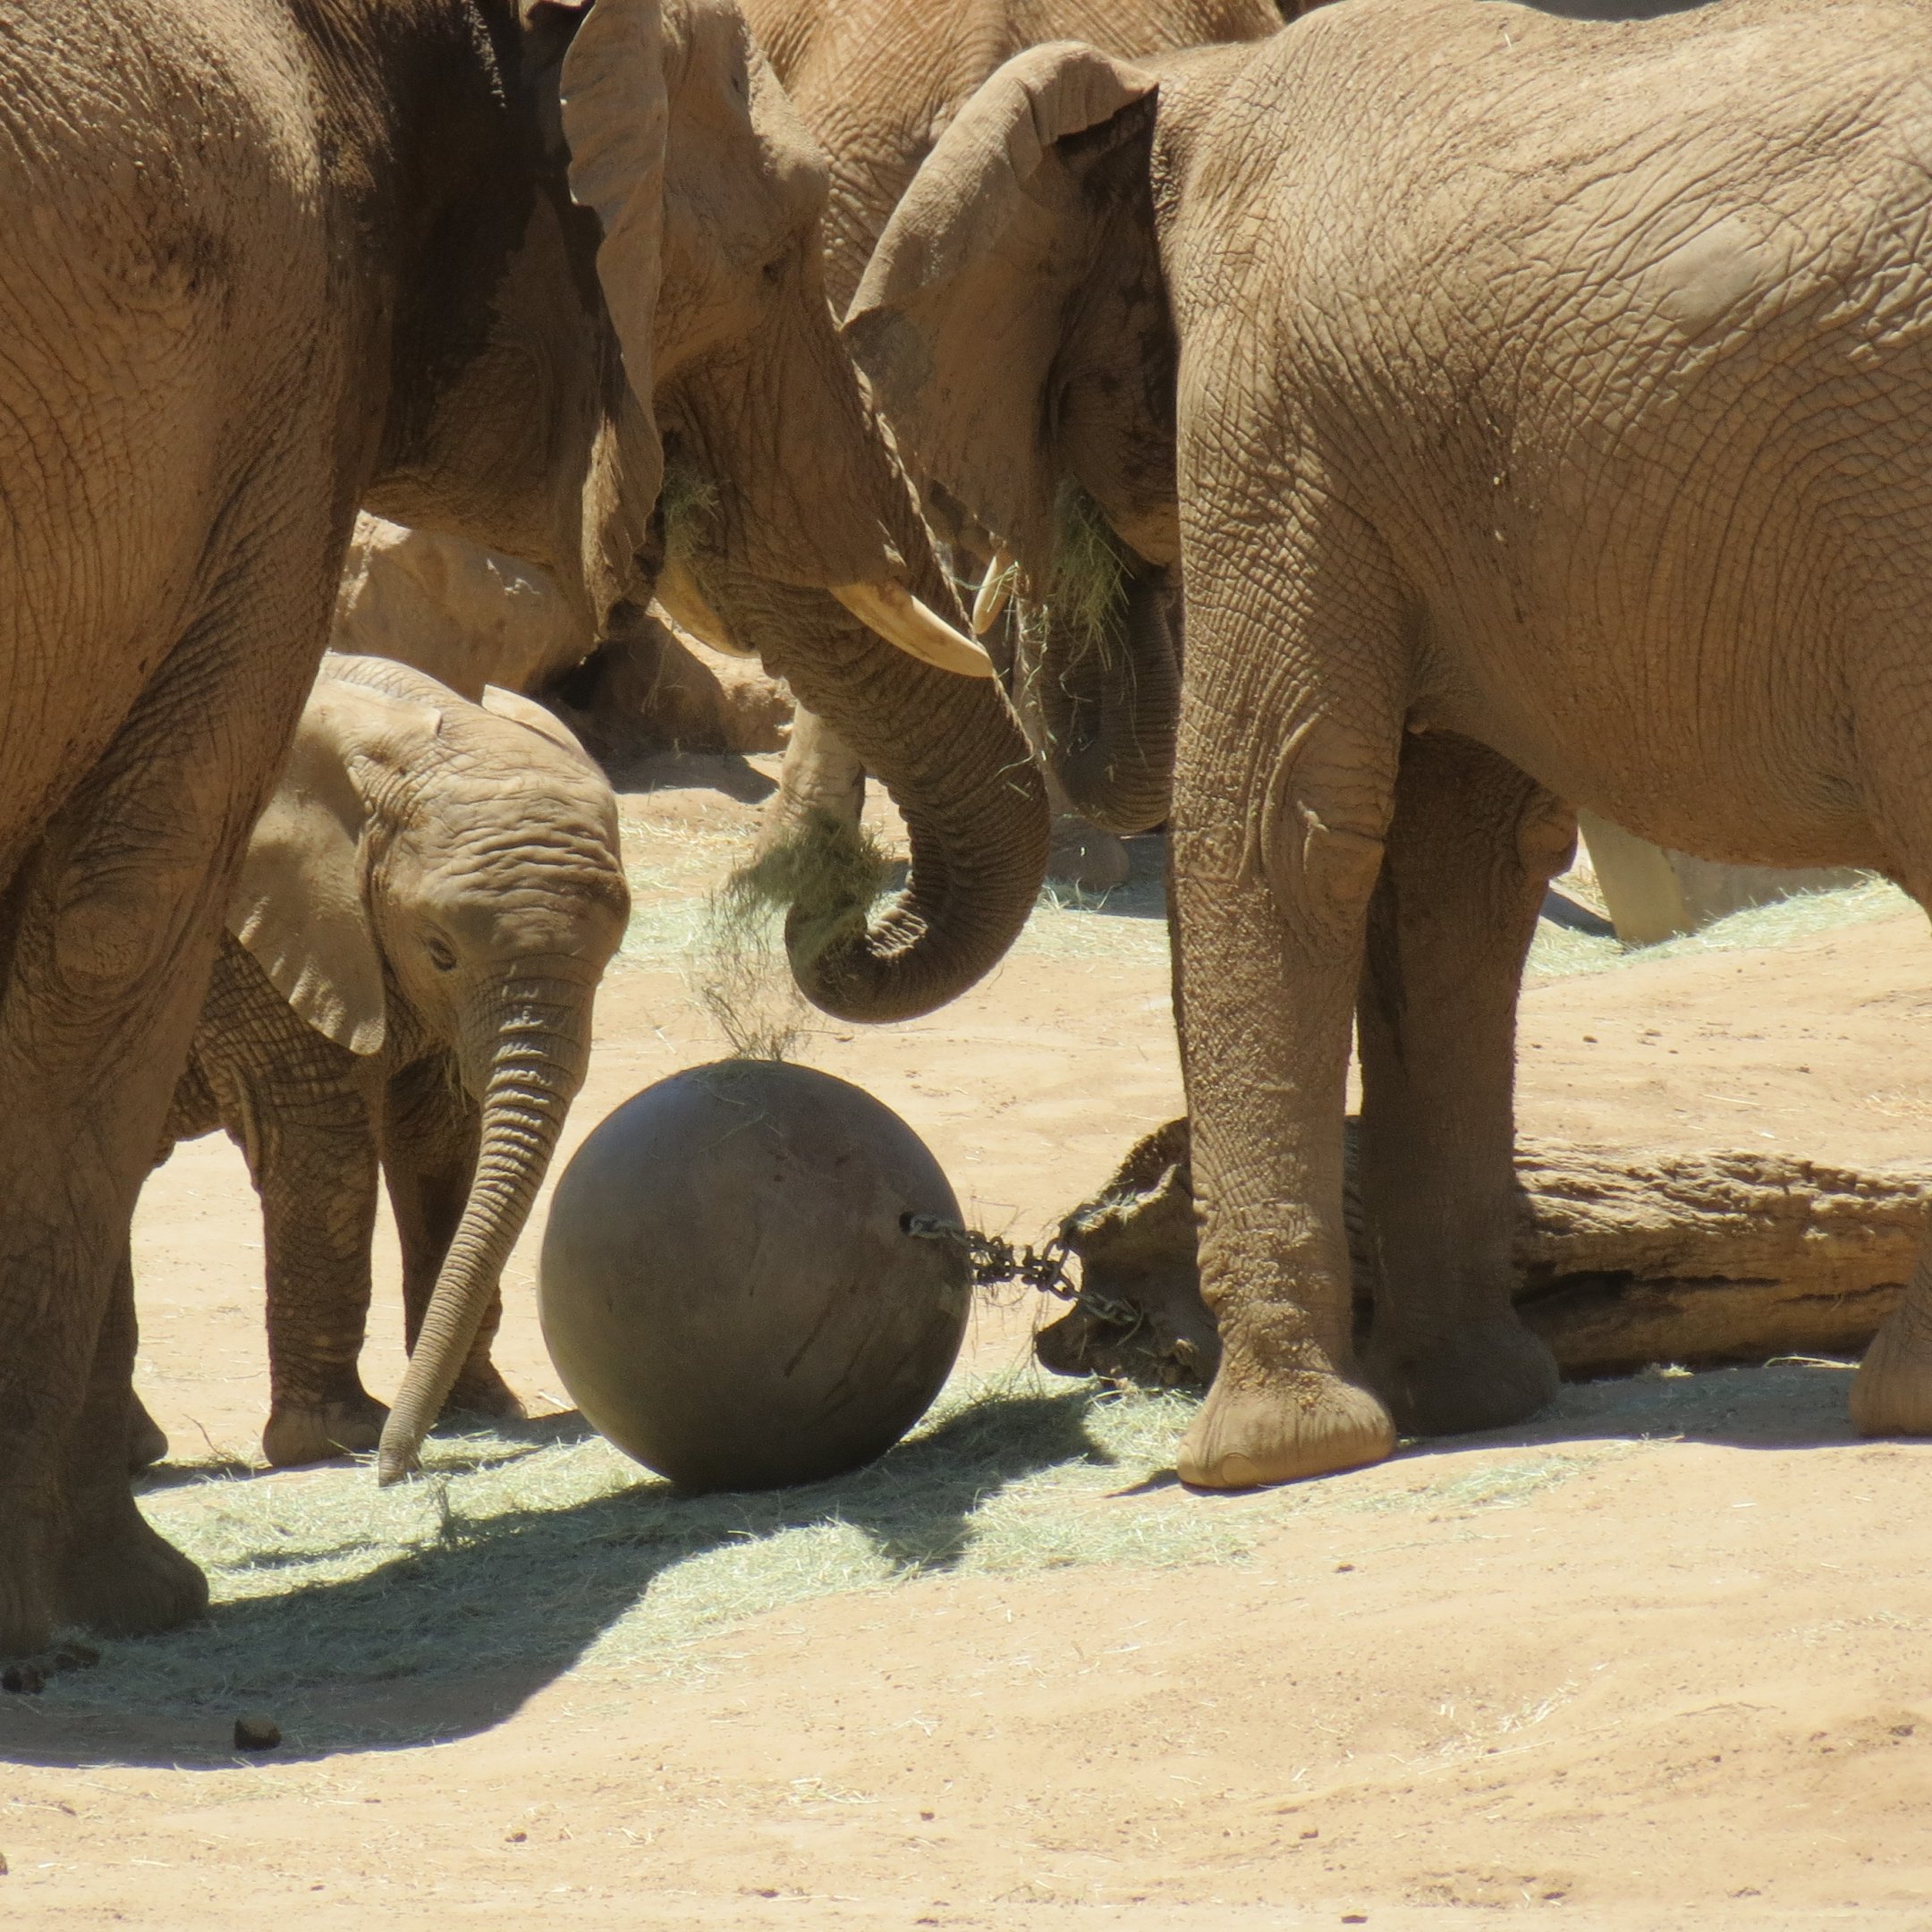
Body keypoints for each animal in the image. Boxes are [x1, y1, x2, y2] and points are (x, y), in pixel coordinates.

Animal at [134, 654, 628, 1472]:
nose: (397, 1473)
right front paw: (338, 1438)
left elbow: (439, 1140)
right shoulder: (241, 933)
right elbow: (322, 1145)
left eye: (612, 955)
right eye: (440, 950)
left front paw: (480, 1408)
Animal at [847, 0, 1932, 1486]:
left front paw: (1266, 1456)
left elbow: (1275, 825)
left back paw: (1902, 1394)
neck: (1186, 79)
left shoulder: (1272, 419)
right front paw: (1473, 1403)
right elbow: (1444, 876)